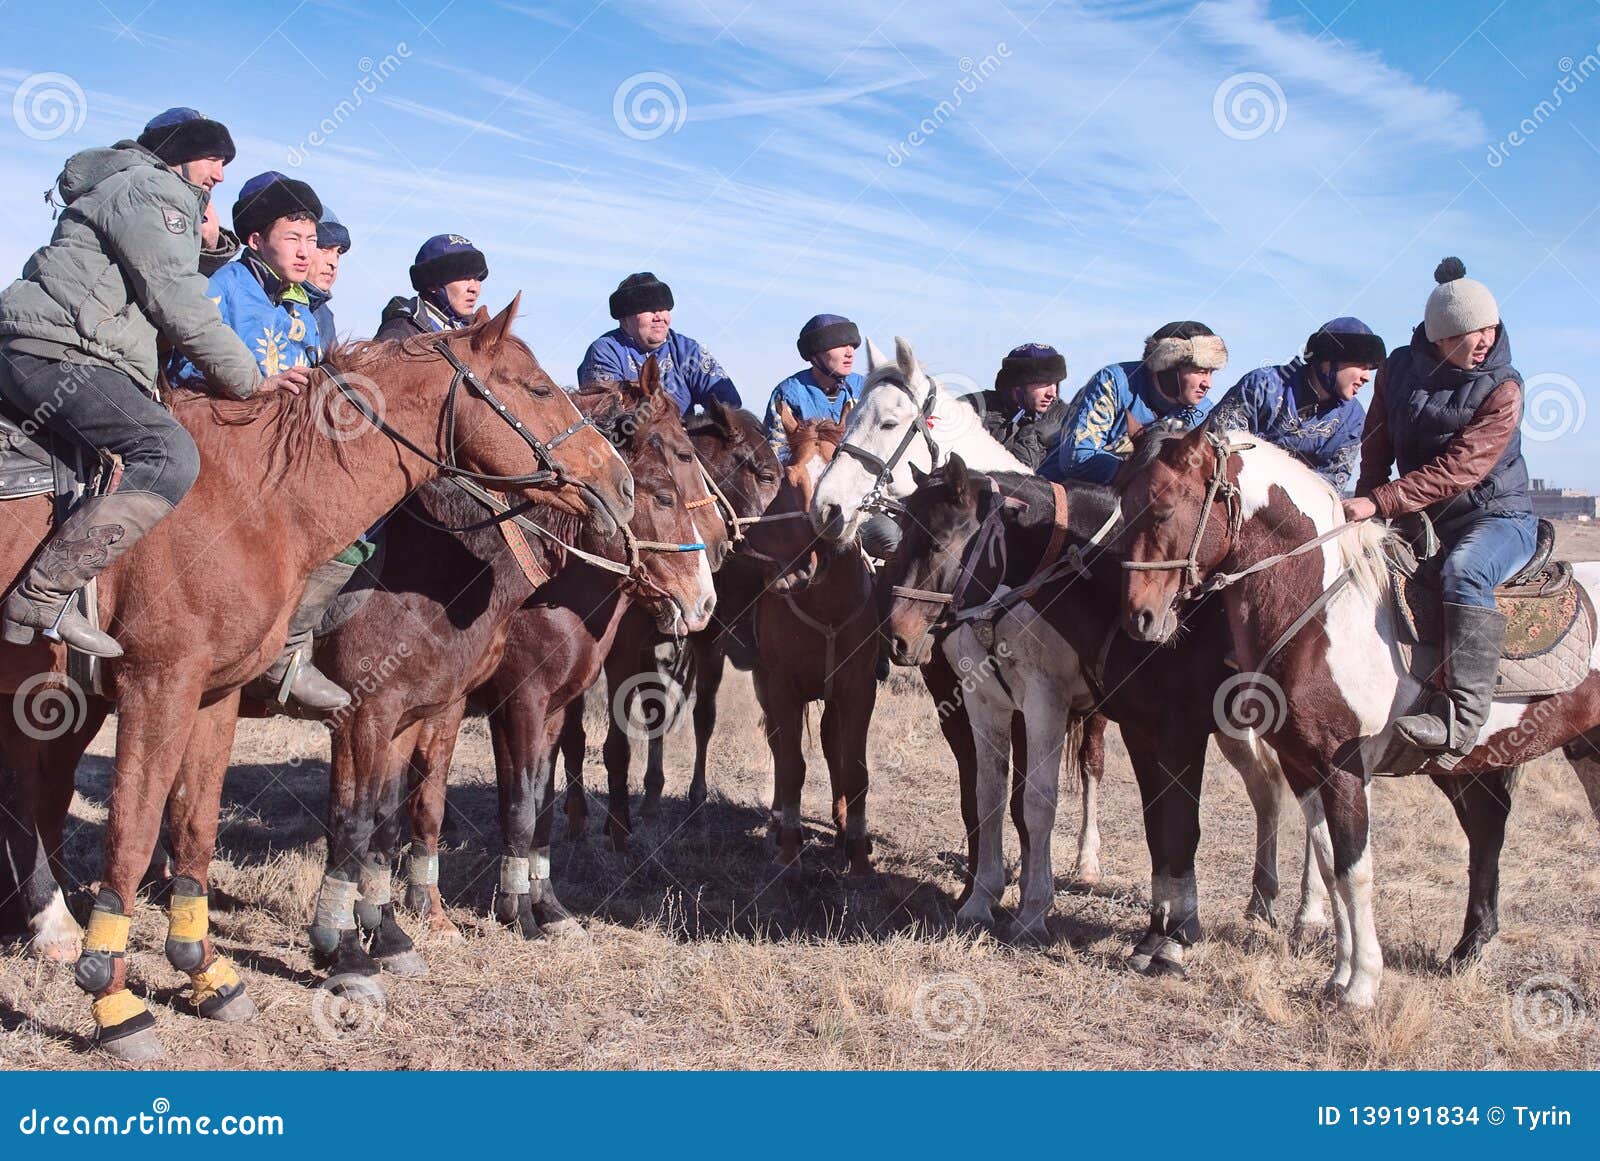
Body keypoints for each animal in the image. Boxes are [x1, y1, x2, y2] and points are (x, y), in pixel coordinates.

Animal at [0, 300, 636, 1061]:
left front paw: (205, 972)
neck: (253, 499)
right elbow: (136, 830)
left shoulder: (222, 696)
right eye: (537, 387)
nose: (621, 485)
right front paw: (116, 999)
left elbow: (204, 825)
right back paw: (58, 928)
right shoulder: (167, 687)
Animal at [300, 366, 720, 991]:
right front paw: (513, 912)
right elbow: (507, 806)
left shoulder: (547, 711)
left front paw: (545, 907)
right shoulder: (511, 704)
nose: (705, 597)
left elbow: (538, 804)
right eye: (670, 481)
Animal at [1120, 428, 1600, 1010]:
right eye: (1122, 502)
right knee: (1487, 830)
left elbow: (1356, 870)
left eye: (1163, 509)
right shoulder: (1303, 765)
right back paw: (1466, 952)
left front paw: (1363, 985)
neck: (1323, 608)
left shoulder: (1345, 766)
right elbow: (1330, 863)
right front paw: (1338, 975)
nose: (1140, 619)